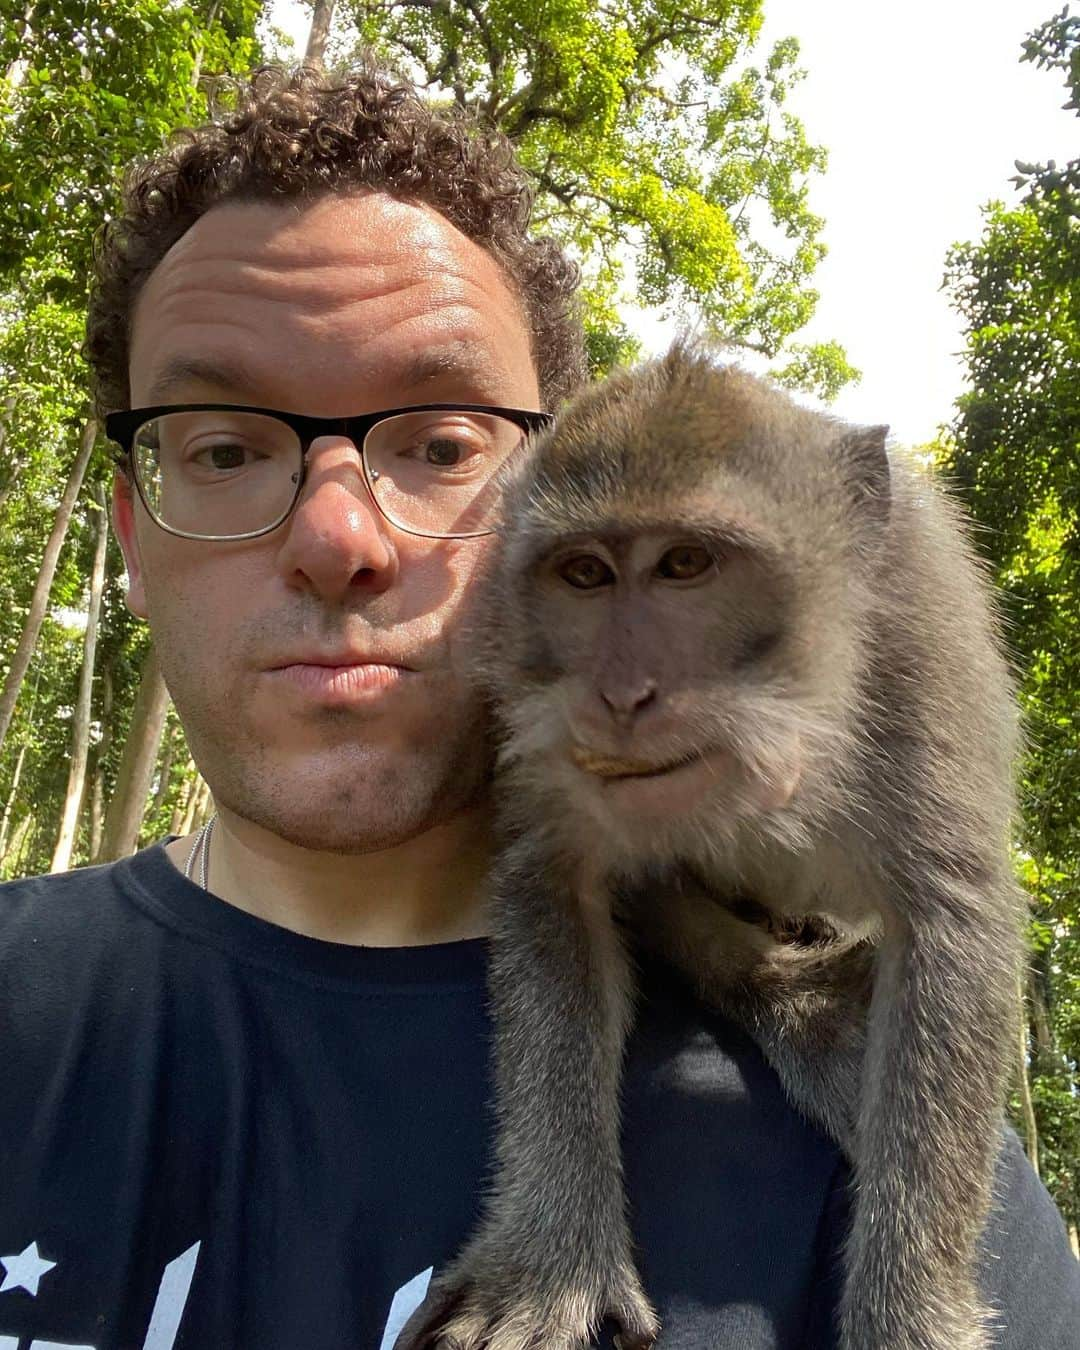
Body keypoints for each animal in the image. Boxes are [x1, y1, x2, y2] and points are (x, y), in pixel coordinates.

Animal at [399, 345, 1031, 1350]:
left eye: (685, 564)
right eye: (585, 574)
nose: (621, 694)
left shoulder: (923, 636)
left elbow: (955, 919)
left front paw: (907, 1317)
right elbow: (556, 886)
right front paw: (549, 1261)